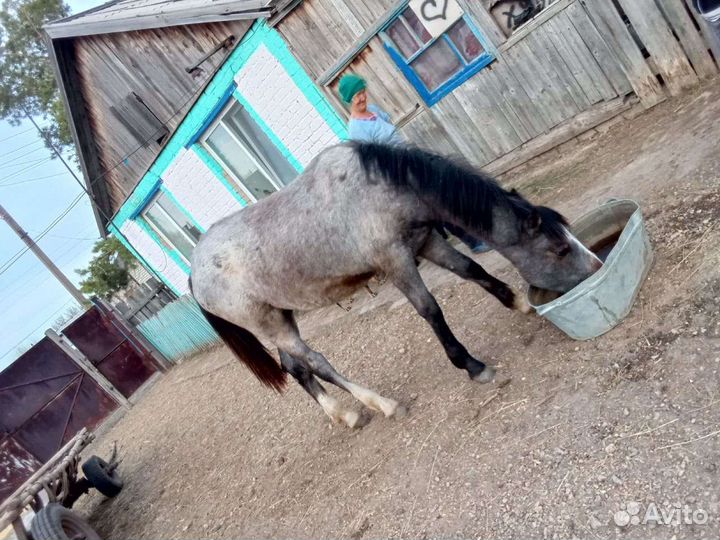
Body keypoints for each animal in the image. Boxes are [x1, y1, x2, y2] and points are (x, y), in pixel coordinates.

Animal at [190, 142, 602, 428]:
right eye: (561, 249)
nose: (598, 266)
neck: (378, 189)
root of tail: (194, 273)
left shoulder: (427, 241)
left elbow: (473, 270)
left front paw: (519, 303)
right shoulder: (396, 261)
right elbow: (429, 308)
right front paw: (471, 365)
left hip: (280, 314)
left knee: (296, 367)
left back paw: (344, 415)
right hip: (268, 323)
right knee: (315, 361)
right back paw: (382, 404)